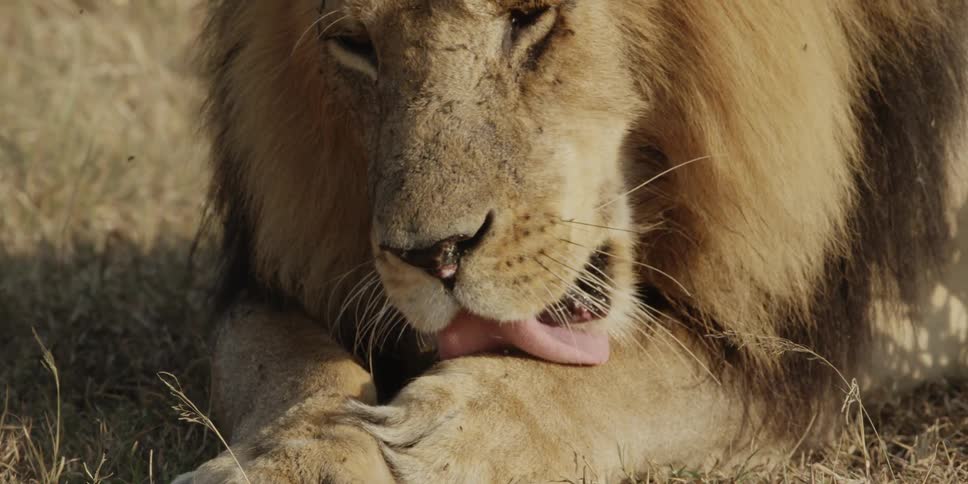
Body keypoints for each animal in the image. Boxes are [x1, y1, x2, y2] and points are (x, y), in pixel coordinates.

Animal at [175, 1, 968, 482]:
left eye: (531, 18)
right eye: (354, 45)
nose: (432, 258)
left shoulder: (838, 327)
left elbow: (649, 373)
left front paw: (467, 427)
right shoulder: (271, 275)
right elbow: (290, 369)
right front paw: (293, 458)